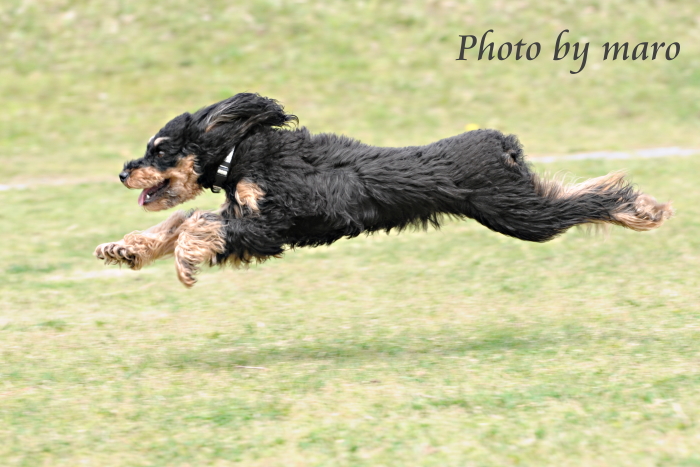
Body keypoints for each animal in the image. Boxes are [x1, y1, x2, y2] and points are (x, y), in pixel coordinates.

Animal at [93, 93, 672, 288]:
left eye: (159, 149)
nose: (122, 173)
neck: (243, 151)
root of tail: (500, 144)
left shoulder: (271, 223)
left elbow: (196, 222)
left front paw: (185, 263)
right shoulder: (252, 223)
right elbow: (176, 221)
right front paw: (125, 249)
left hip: (516, 213)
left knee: (588, 201)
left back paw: (640, 208)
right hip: (518, 202)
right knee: (572, 192)